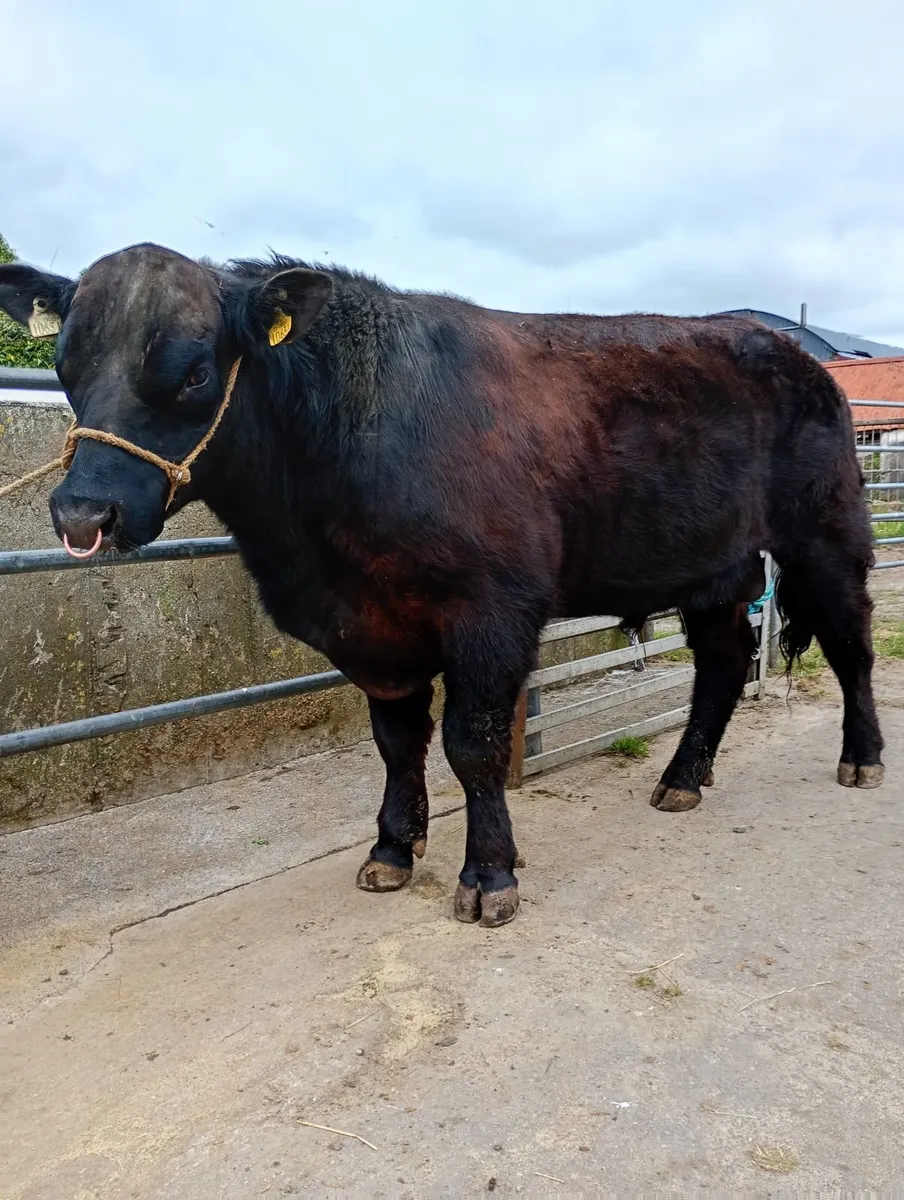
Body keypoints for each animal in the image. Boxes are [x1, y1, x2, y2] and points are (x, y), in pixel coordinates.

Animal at [0, 244, 884, 927]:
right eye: (64, 365)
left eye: (192, 373)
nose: (82, 511)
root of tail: (782, 345)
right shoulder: (372, 632)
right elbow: (397, 744)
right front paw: (392, 849)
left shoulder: (491, 612)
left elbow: (472, 745)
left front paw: (489, 875)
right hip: (711, 567)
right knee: (724, 665)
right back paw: (681, 779)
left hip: (826, 535)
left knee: (852, 646)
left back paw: (862, 759)